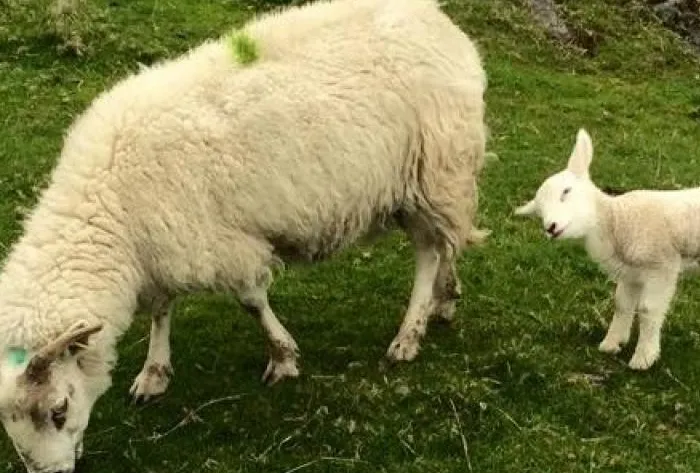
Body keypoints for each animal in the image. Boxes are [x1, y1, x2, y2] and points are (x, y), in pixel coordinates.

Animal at [0, 0, 489, 471]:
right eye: (9, 425)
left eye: (59, 409)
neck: (110, 208)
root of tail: (439, 21)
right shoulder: (163, 245)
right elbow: (162, 309)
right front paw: (154, 372)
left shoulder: (220, 243)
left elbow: (251, 300)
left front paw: (283, 357)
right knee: (448, 242)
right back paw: (445, 299)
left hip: (434, 167)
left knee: (429, 252)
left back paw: (409, 333)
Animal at [514, 128, 700, 371]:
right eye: (539, 211)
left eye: (566, 191)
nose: (550, 227)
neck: (616, 220)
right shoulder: (631, 272)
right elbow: (621, 304)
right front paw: (612, 343)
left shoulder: (661, 265)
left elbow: (648, 309)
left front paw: (643, 357)